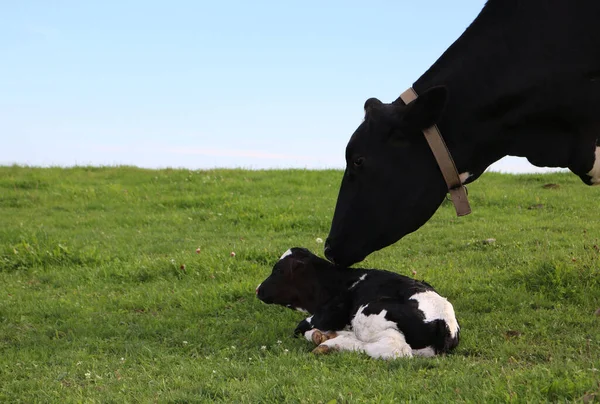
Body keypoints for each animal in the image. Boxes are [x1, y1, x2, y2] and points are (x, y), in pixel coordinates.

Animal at [256, 246, 460, 360]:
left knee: (394, 349)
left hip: (369, 313)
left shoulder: (322, 317)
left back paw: (333, 343)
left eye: (278, 270)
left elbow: (300, 329)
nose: (258, 289)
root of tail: (443, 323)